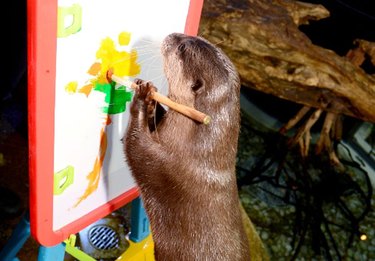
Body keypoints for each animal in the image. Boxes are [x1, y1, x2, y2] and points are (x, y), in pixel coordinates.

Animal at [125, 33, 251, 260]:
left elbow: (137, 148)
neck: (202, 151)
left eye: (182, 47)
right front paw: (151, 97)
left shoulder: (166, 167)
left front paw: (141, 96)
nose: (171, 34)